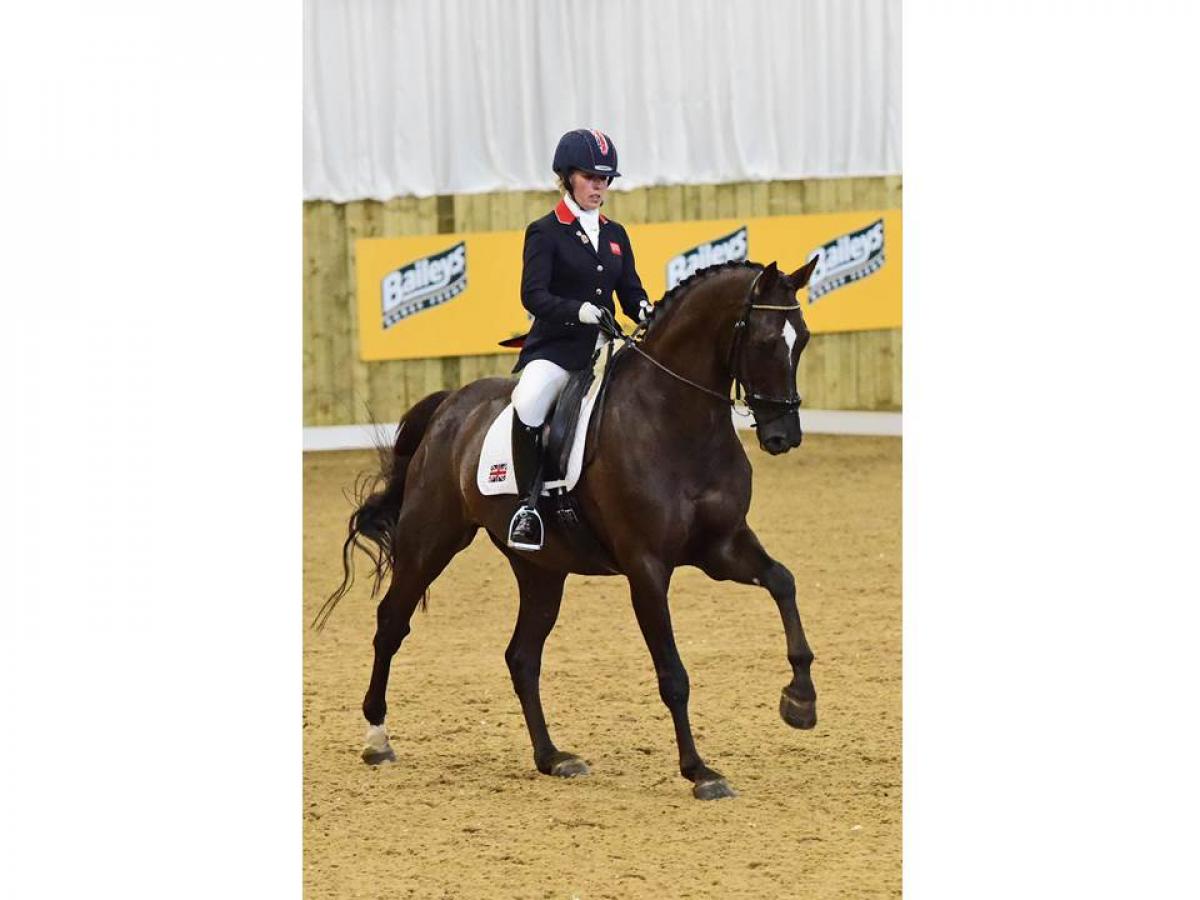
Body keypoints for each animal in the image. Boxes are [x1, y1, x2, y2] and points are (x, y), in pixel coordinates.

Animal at [316, 256, 825, 801]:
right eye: (767, 341)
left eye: (803, 338)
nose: (783, 436)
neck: (677, 420)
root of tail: (452, 403)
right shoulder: (647, 568)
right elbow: (673, 674)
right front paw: (699, 771)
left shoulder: (722, 547)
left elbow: (783, 582)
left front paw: (800, 701)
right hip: (429, 541)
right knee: (392, 623)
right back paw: (377, 739)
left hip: (541, 569)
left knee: (521, 656)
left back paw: (552, 757)